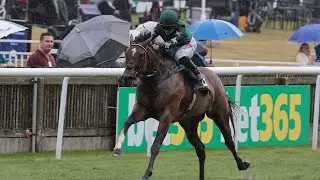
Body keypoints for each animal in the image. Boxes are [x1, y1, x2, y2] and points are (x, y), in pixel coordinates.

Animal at [112, 39, 250, 180]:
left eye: (141, 55)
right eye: (126, 53)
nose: (127, 77)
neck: (158, 79)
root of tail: (216, 77)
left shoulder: (167, 115)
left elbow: (156, 145)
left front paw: (146, 174)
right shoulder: (142, 108)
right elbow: (128, 122)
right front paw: (118, 148)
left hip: (219, 114)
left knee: (229, 141)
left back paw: (242, 164)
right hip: (189, 123)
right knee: (200, 148)